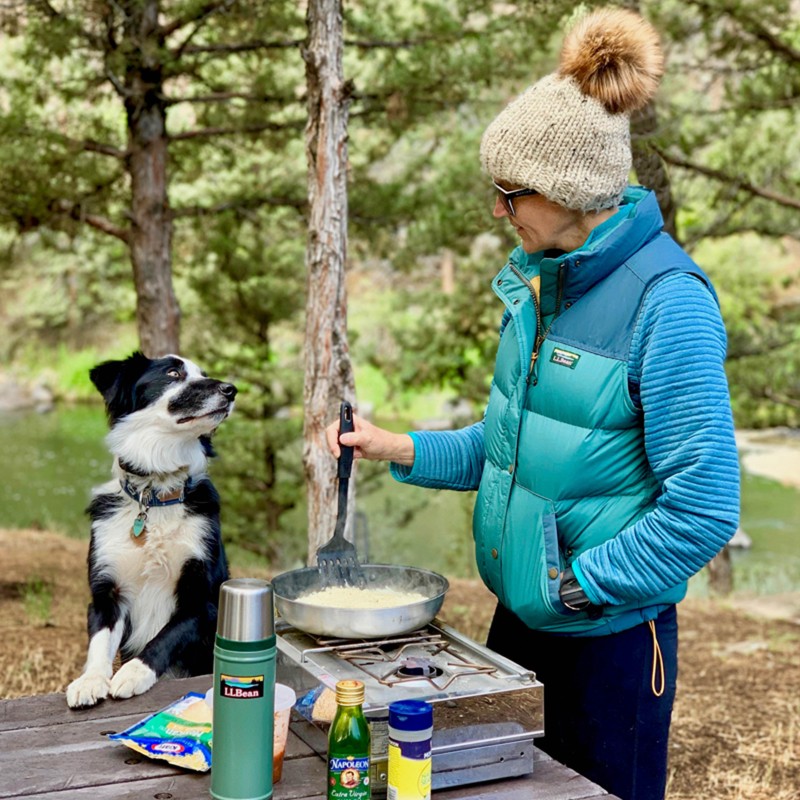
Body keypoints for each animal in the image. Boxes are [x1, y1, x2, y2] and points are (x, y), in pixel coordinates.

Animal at [67, 350, 236, 708]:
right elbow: (99, 642)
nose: (231, 390)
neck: (154, 495)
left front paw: (133, 673)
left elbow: (164, 638)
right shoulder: (107, 592)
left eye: (204, 374)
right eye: (173, 373)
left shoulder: (202, 598)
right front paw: (90, 680)